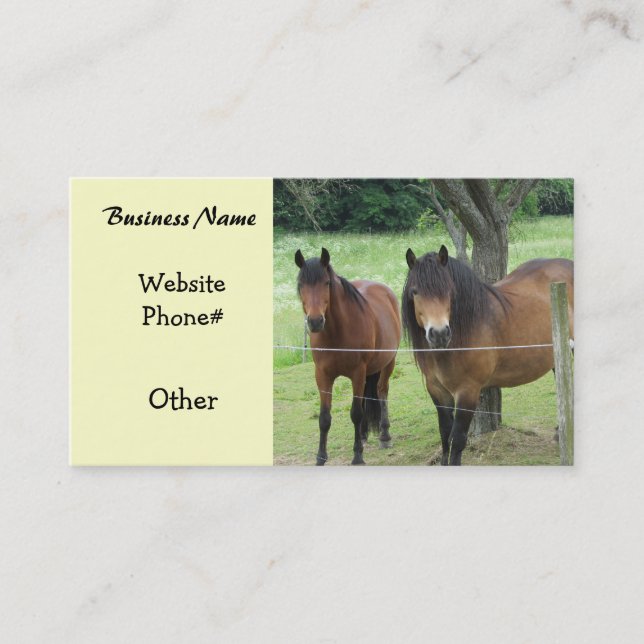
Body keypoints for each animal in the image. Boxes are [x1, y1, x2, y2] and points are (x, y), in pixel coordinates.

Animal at [295, 248, 402, 465]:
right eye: (301, 285)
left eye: (326, 283)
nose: (315, 321)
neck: (337, 332)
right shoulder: (323, 375)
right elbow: (324, 418)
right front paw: (320, 458)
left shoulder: (357, 373)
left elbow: (356, 413)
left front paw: (358, 457)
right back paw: (363, 434)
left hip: (388, 362)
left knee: (382, 391)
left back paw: (384, 436)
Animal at [402, 245, 574, 466]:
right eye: (415, 291)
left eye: (448, 290)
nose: (439, 334)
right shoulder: (437, 390)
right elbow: (445, 436)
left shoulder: (468, 391)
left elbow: (457, 439)